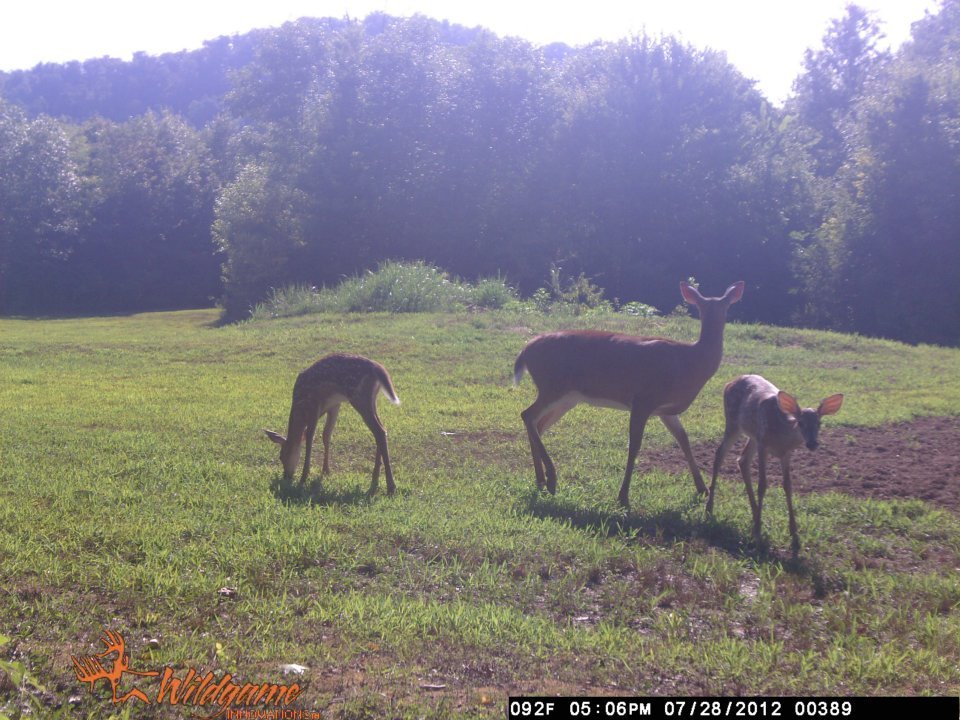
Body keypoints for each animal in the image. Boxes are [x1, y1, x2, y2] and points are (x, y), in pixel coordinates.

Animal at [265, 353, 400, 495]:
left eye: (281, 456)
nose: (286, 476)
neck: (300, 407)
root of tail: (378, 368)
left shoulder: (314, 406)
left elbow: (310, 439)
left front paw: (304, 477)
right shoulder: (334, 405)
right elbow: (326, 435)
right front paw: (325, 470)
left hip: (359, 397)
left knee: (379, 431)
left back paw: (391, 486)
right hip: (371, 400)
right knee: (381, 429)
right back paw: (375, 479)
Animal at [513, 280, 744, 508]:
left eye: (726, 307)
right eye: (701, 308)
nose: (719, 322)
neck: (690, 363)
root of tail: (525, 350)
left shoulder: (666, 410)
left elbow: (683, 440)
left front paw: (702, 489)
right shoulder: (643, 399)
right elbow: (634, 445)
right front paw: (623, 496)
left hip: (567, 397)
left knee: (538, 424)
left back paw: (541, 480)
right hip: (553, 386)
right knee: (527, 415)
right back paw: (551, 479)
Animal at [706, 374, 844, 554]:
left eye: (819, 423)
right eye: (801, 423)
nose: (812, 444)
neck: (782, 435)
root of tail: (730, 382)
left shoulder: (786, 453)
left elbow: (788, 486)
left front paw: (794, 535)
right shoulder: (763, 445)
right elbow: (762, 485)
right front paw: (758, 535)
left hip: (753, 436)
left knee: (742, 460)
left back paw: (755, 514)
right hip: (734, 423)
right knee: (720, 454)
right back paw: (710, 508)